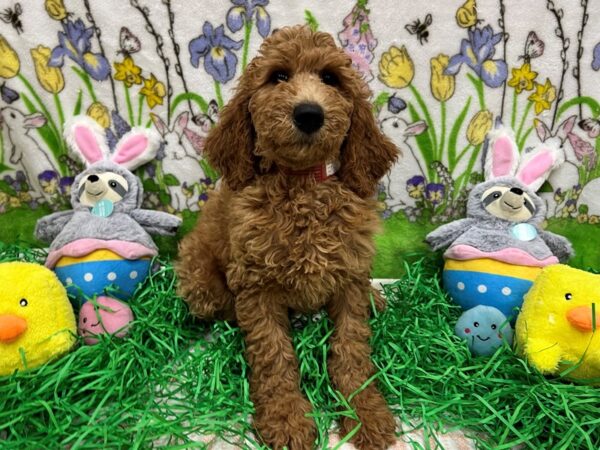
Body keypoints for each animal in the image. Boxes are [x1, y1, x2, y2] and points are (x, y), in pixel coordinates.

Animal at [178, 25, 404, 450]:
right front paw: (286, 419)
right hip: (200, 279)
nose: (309, 114)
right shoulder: (256, 287)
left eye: (330, 78)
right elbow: (274, 355)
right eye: (278, 77)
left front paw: (364, 412)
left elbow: (351, 350)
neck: (302, 186)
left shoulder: (349, 279)